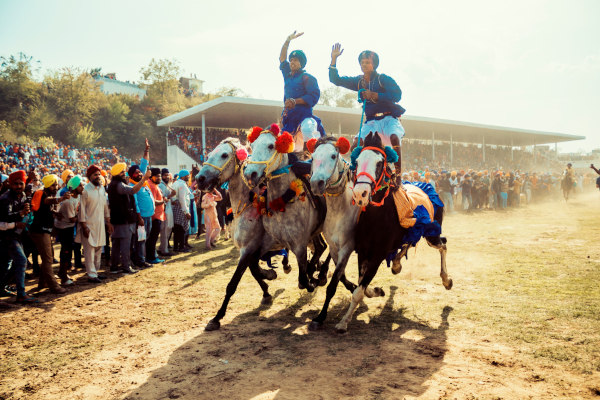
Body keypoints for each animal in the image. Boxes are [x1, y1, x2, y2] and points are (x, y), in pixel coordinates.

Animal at [196, 138, 282, 332]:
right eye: (209, 153)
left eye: (224, 155)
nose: (199, 178)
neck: (248, 204)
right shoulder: (252, 249)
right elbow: (254, 270)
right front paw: (268, 284)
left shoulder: (249, 248)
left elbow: (233, 283)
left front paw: (217, 317)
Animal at [244, 123, 326, 292]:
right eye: (252, 146)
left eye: (271, 146)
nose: (250, 173)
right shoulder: (271, 241)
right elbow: (253, 263)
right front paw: (269, 274)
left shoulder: (299, 245)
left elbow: (303, 279)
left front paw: (311, 279)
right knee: (320, 247)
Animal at [336, 133, 452, 332]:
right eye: (356, 161)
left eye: (379, 163)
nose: (360, 194)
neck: (377, 216)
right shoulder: (363, 252)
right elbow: (361, 285)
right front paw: (375, 291)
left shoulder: (378, 254)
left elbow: (359, 290)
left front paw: (344, 322)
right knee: (409, 242)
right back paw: (397, 264)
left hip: (431, 233)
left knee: (442, 244)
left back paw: (446, 279)